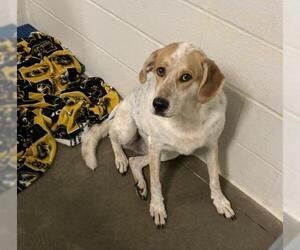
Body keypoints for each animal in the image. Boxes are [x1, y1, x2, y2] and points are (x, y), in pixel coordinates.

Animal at [81, 42, 234, 227]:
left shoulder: (212, 146)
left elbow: (214, 178)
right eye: (160, 71)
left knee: (135, 161)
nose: (158, 104)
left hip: (169, 153)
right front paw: (157, 207)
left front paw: (220, 201)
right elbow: (156, 182)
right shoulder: (156, 146)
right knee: (112, 136)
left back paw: (140, 183)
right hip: (130, 131)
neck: (187, 117)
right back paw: (121, 159)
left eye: (186, 77)